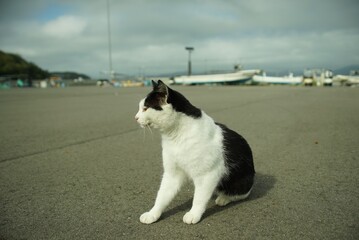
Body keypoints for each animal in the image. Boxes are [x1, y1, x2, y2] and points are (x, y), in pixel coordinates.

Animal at [136, 80, 256, 225]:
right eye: (141, 108)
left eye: (145, 108)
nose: (135, 118)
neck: (175, 136)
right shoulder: (172, 174)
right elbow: (162, 195)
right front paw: (153, 214)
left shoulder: (207, 175)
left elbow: (199, 198)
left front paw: (193, 214)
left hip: (241, 182)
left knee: (240, 194)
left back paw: (224, 198)